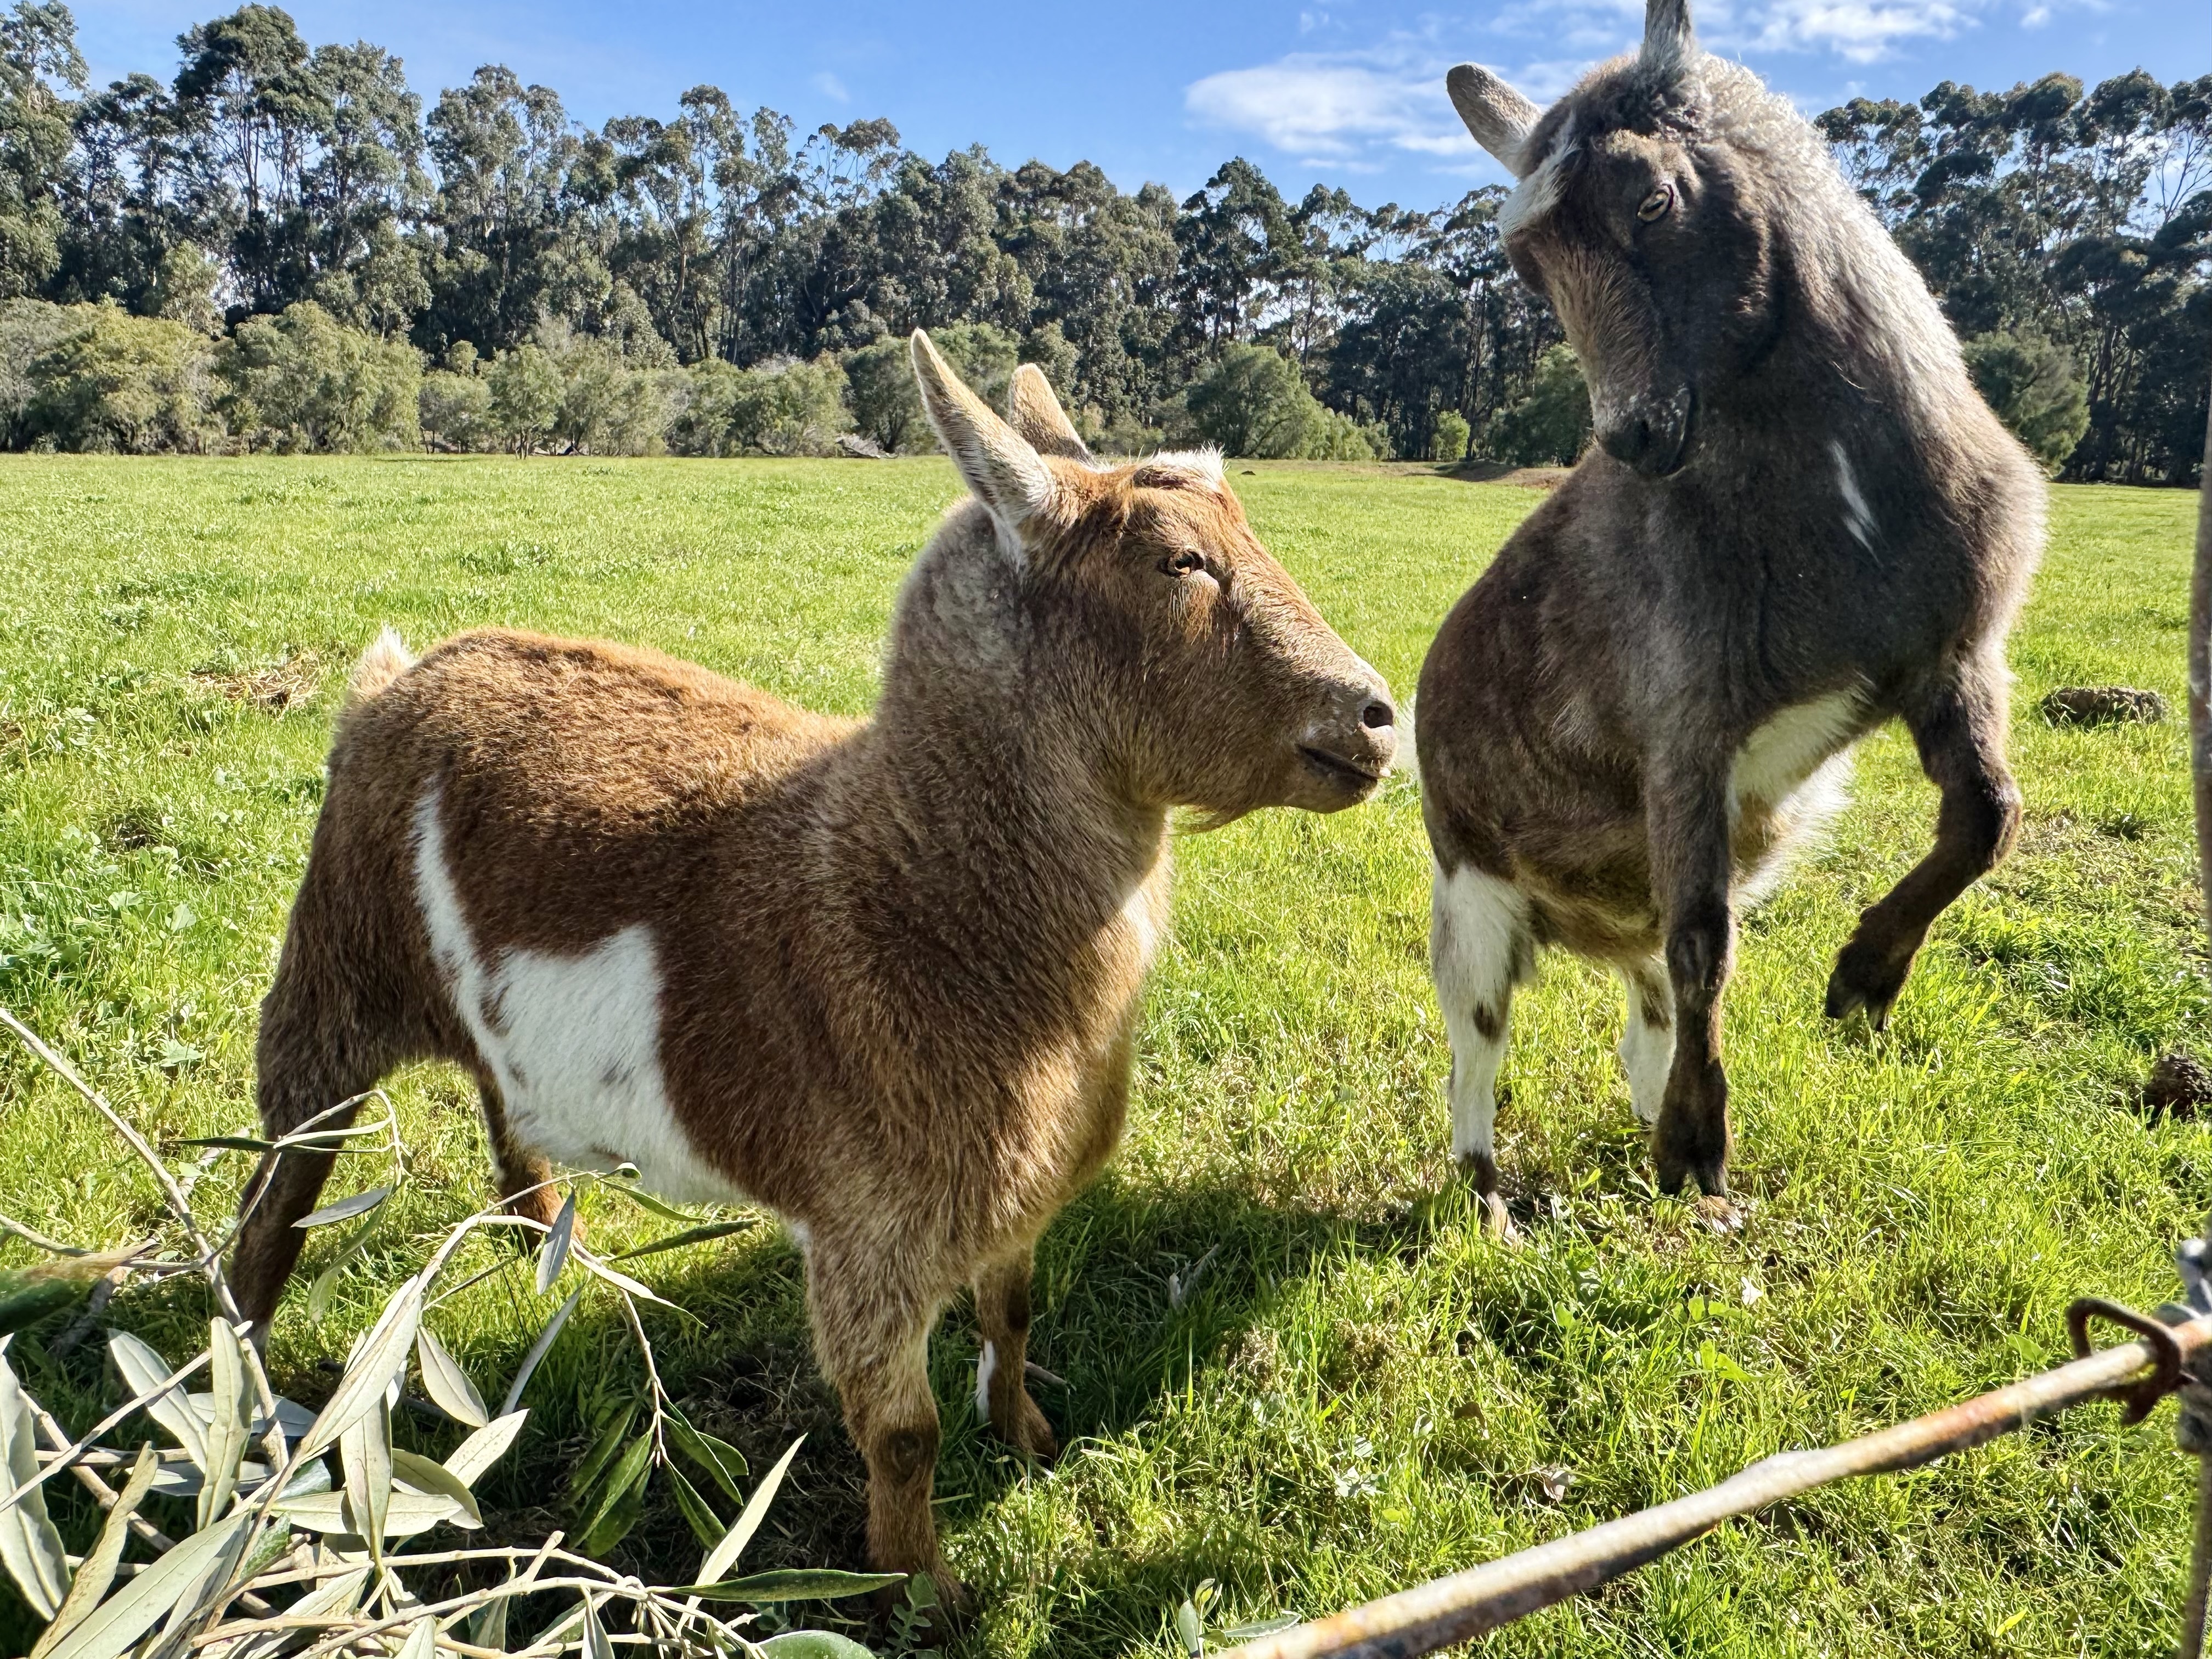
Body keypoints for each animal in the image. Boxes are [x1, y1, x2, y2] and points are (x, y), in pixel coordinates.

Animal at [228, 334, 1398, 1598]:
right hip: (328, 985)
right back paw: (246, 1417)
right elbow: (904, 1435)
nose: (1378, 715)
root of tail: (393, 682)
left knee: (505, 1136)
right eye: (1181, 559)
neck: (903, 887)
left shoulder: (1012, 1198)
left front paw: (1030, 1442)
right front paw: (921, 1594)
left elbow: (1015, 1316)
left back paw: (552, 1272)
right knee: (274, 1205)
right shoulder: (867, 1233)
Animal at [1420, 0, 2043, 1222]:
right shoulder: (1683, 726)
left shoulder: (1952, 658)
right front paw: (1698, 1144)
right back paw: (1491, 1196)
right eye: (1526, 266)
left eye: (1654, 201)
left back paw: (1645, 1116)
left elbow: (1987, 817)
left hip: (1633, 906)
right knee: (1481, 1042)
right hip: (1471, 890)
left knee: (1647, 1009)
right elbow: (1710, 943)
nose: (1631, 437)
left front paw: (1862, 981)